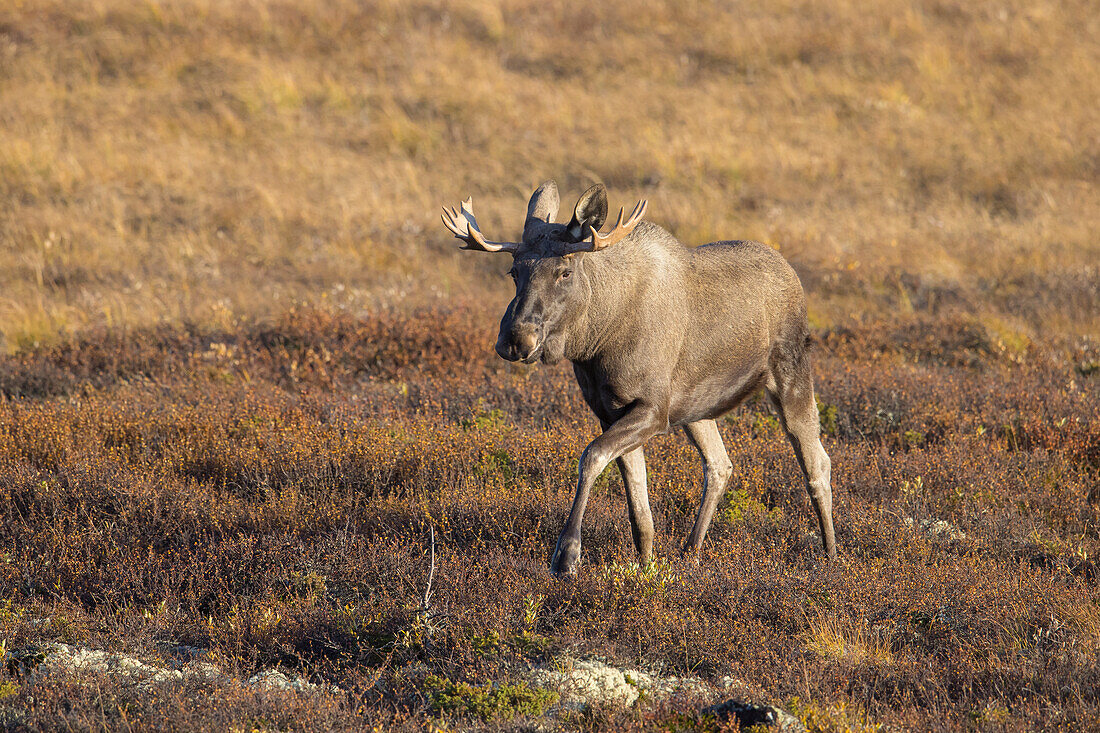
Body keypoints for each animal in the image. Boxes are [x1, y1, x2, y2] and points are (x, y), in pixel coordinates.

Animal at [437, 178, 831, 572]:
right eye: (514, 271)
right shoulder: (612, 412)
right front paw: (645, 567)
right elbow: (638, 508)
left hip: (790, 374)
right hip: (696, 408)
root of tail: (790, 271)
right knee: (720, 465)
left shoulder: (652, 411)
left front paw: (567, 554)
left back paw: (830, 554)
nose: (516, 339)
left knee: (817, 465)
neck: (594, 340)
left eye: (565, 271)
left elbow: (591, 457)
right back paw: (690, 552)